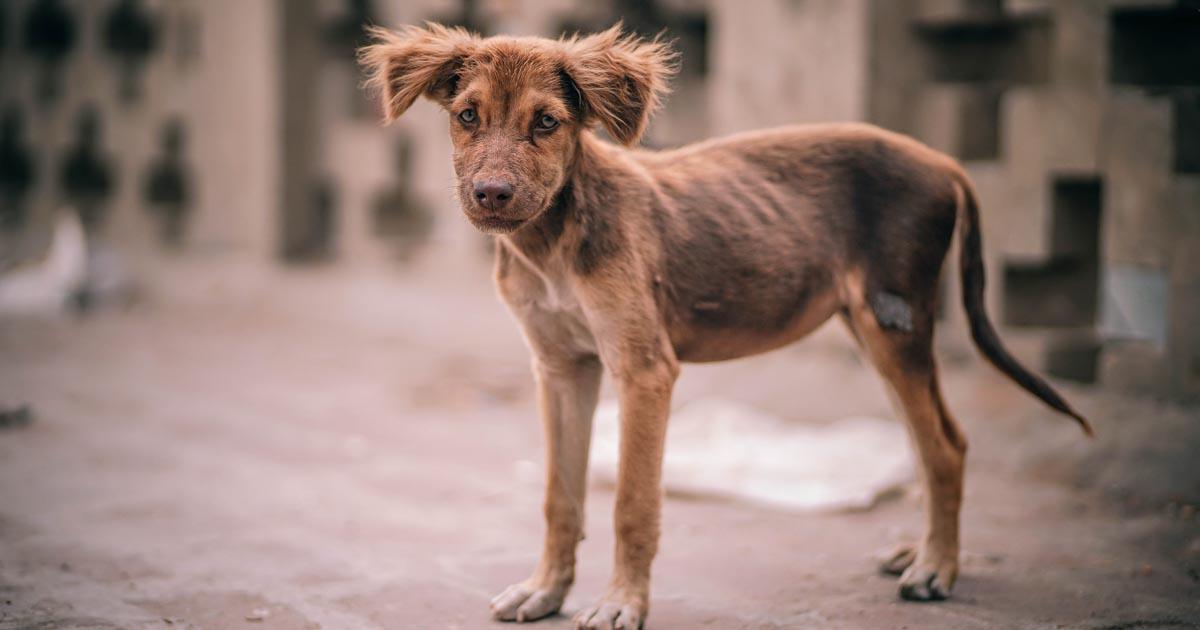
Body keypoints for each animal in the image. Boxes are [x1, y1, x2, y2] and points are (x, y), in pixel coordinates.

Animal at [352, 23, 1089, 628]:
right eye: (467, 117)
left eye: (547, 123)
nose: (492, 195)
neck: (553, 241)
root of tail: (945, 163)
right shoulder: (561, 368)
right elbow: (560, 497)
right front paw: (545, 590)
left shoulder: (644, 369)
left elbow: (630, 503)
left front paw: (622, 603)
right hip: (872, 327)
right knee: (927, 438)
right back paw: (920, 552)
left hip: (895, 321)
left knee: (945, 446)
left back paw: (937, 568)